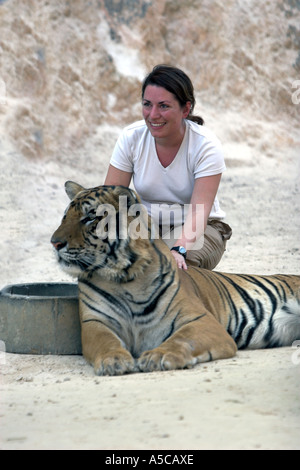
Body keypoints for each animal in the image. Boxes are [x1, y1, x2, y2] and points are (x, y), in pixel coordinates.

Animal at [51, 182, 300, 376]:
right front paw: (114, 360)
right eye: (64, 217)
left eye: (89, 218)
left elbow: (182, 339)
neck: (124, 278)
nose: (54, 243)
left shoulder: (202, 320)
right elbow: (106, 341)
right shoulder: (95, 322)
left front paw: (158, 356)